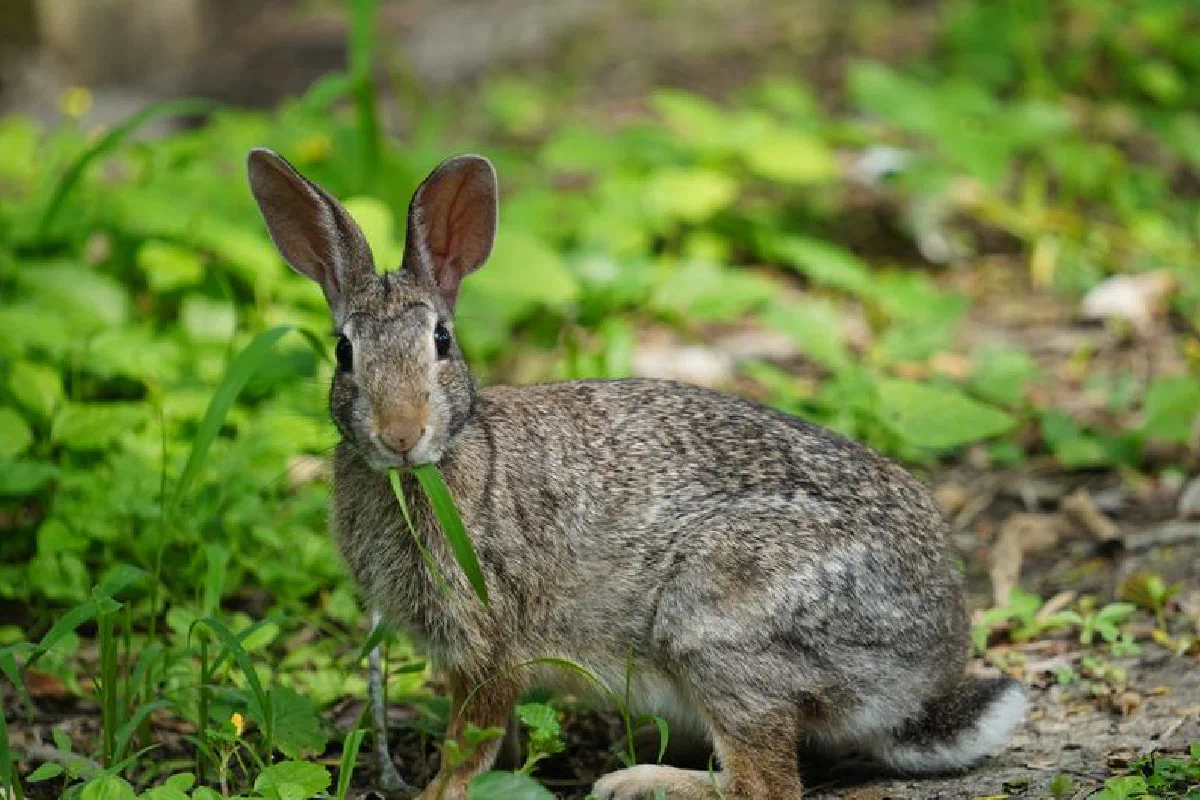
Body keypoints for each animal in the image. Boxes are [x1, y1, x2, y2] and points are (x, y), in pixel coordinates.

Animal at [247, 148, 1027, 800]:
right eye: (344, 352)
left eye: (441, 341)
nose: (401, 433)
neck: (441, 465)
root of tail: (925, 670)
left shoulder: (489, 644)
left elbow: (470, 743)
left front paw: (438, 793)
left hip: (717, 625)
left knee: (765, 784)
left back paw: (636, 782)